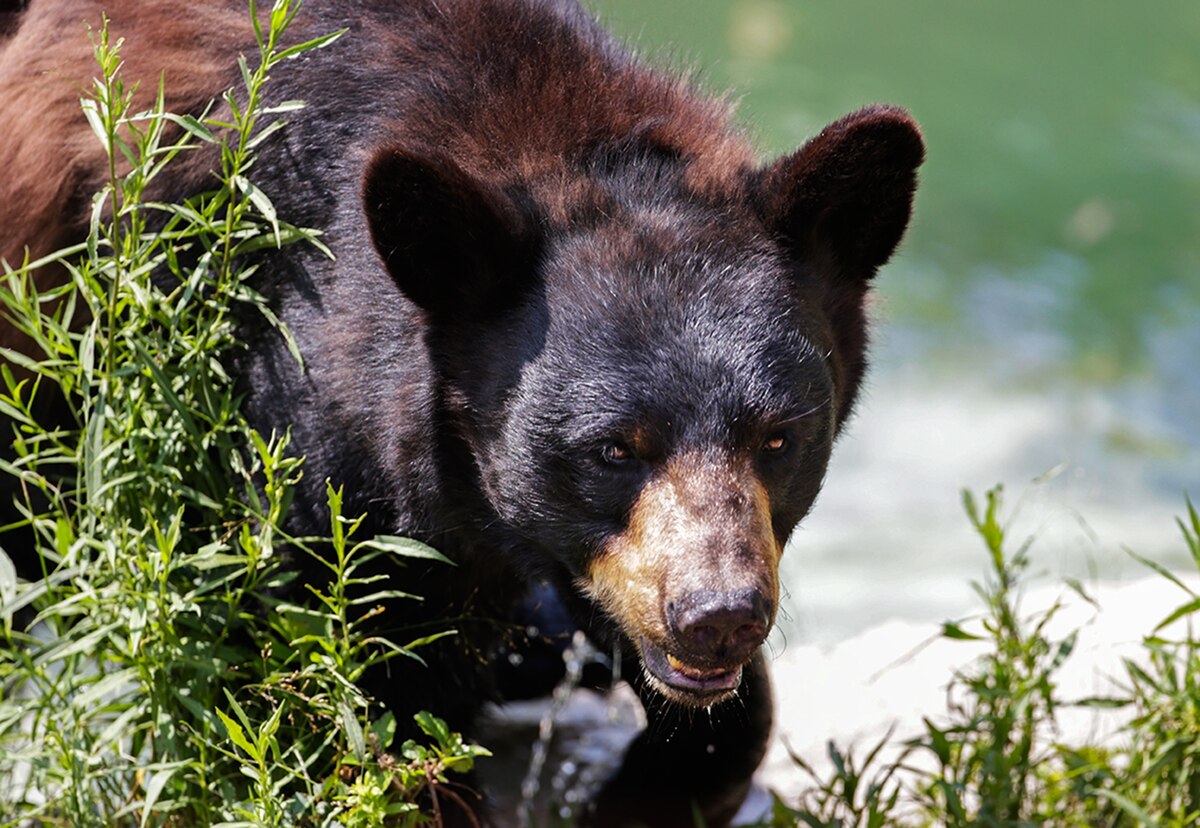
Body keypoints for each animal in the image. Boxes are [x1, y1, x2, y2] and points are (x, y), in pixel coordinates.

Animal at [0, 0, 923, 824]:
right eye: (613, 449)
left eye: (779, 438)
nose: (718, 620)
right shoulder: (289, 424)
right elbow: (351, 691)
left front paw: (637, 793)